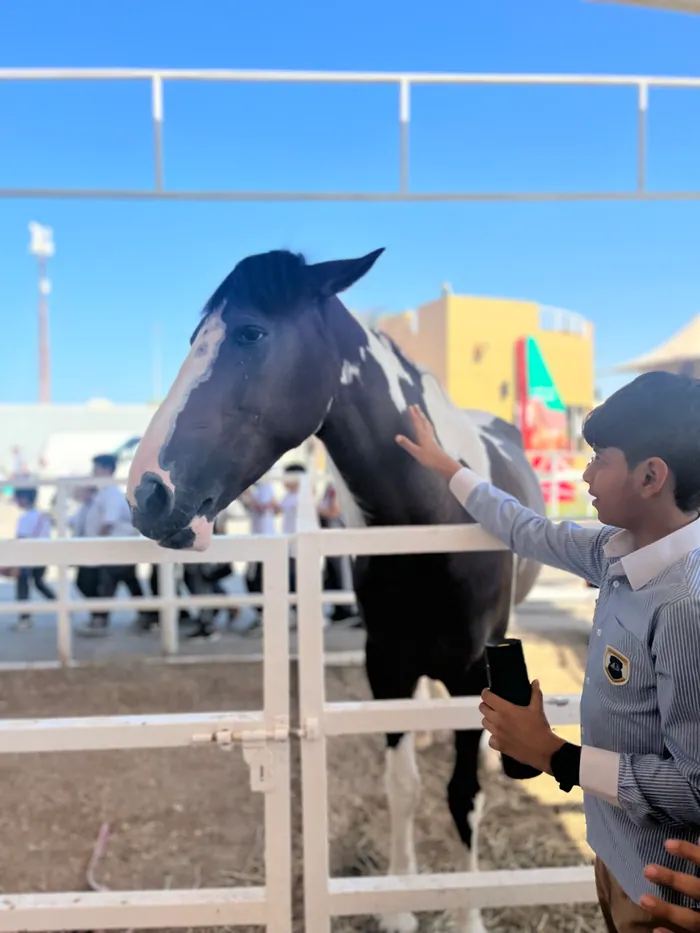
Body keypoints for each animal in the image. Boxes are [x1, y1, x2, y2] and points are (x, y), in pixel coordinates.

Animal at [126, 248, 546, 933]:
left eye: (251, 333)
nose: (146, 494)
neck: (431, 521)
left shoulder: (468, 671)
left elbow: (463, 798)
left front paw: (467, 916)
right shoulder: (387, 666)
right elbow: (402, 787)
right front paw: (399, 904)